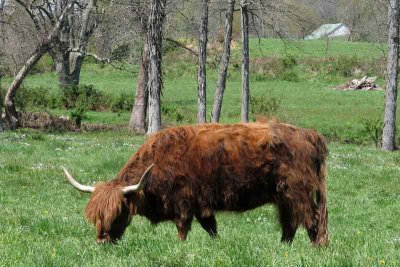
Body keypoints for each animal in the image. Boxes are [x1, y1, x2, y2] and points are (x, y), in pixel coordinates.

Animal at [64, 122, 330, 246]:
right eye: (95, 216)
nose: (102, 242)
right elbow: (210, 227)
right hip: (284, 196)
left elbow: (183, 229)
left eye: (118, 213)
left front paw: (180, 246)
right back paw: (283, 247)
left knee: (313, 220)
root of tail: (310, 135)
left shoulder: (184, 202)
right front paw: (217, 244)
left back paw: (318, 248)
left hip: (299, 192)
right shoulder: (202, 204)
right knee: (290, 224)